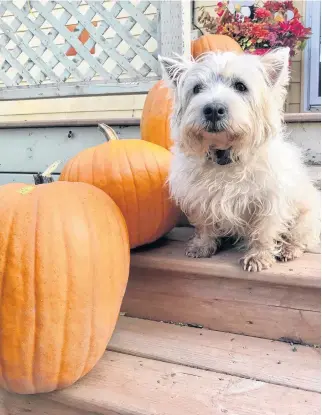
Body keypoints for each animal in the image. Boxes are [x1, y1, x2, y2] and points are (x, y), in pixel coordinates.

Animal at [158, 48, 320, 272]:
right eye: (197, 88)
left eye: (240, 86)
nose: (213, 109)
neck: (224, 155)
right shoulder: (199, 196)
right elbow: (204, 223)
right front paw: (202, 246)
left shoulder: (270, 200)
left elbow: (264, 230)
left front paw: (258, 256)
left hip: (307, 216)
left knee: (302, 237)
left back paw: (289, 249)